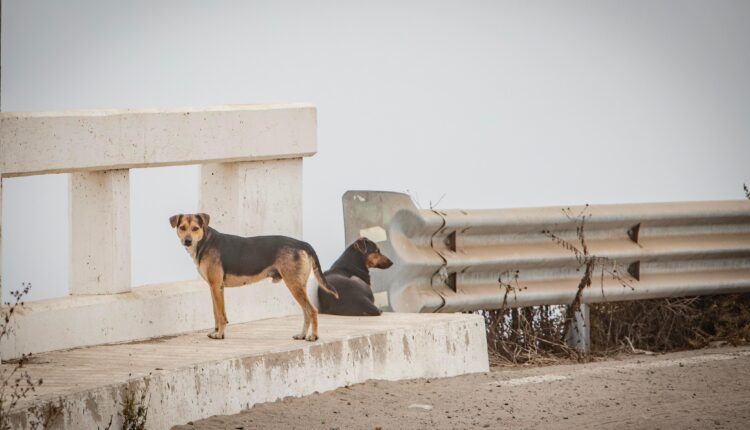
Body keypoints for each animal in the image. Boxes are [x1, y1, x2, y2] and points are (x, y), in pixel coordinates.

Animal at [170, 213, 338, 340]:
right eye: (182, 227)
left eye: (195, 228)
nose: (187, 241)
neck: (205, 241)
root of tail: (303, 244)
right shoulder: (214, 287)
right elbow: (216, 313)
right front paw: (215, 331)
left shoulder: (216, 286)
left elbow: (220, 314)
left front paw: (220, 334)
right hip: (298, 286)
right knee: (306, 312)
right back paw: (302, 335)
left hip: (294, 285)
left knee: (312, 310)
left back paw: (313, 336)